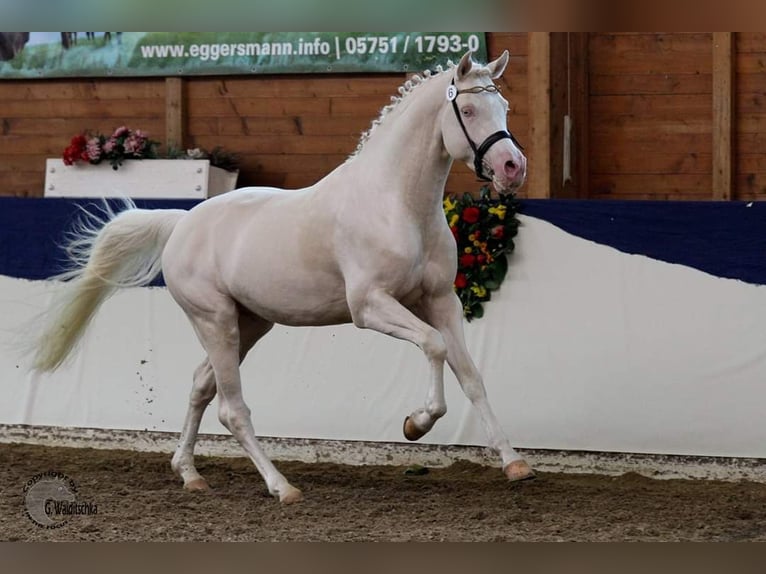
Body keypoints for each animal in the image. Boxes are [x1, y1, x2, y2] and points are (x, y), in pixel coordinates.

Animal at [31, 51, 536, 506]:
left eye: (506, 108)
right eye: (468, 110)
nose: (513, 168)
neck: (395, 204)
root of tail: (182, 223)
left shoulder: (439, 301)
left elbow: (470, 375)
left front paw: (514, 463)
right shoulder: (370, 306)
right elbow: (433, 346)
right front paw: (417, 423)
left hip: (249, 324)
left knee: (201, 384)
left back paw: (190, 474)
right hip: (215, 320)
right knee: (231, 407)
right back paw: (282, 487)